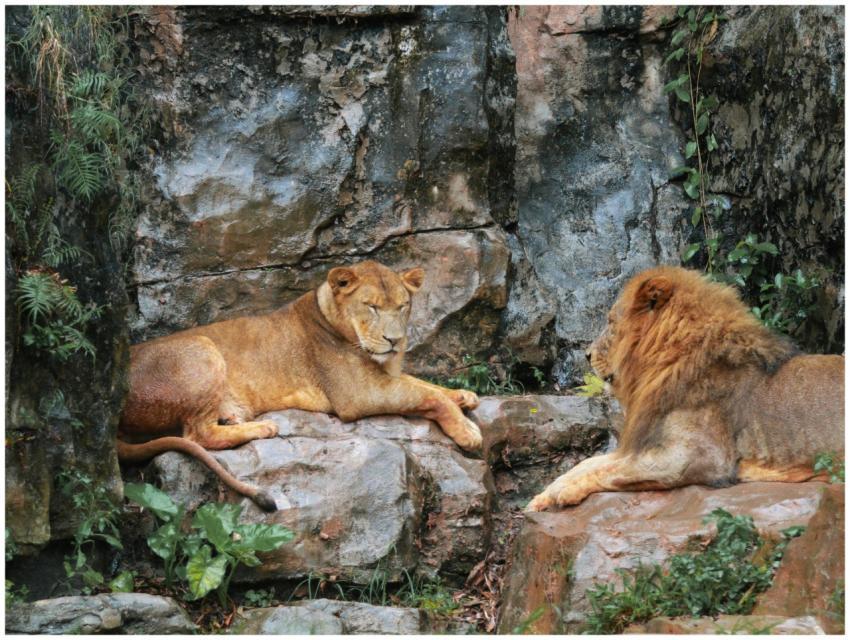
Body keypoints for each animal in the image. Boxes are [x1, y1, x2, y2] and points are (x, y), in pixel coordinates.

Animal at [119, 260, 482, 511]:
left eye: (402, 305)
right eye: (372, 306)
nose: (396, 340)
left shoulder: (382, 378)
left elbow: (423, 384)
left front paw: (464, 396)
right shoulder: (358, 394)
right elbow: (425, 395)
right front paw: (467, 431)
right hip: (203, 348)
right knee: (198, 435)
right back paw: (263, 427)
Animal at [527, 265, 844, 512]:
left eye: (611, 322)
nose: (587, 354)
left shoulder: (701, 457)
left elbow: (612, 470)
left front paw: (562, 492)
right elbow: (590, 462)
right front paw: (544, 494)